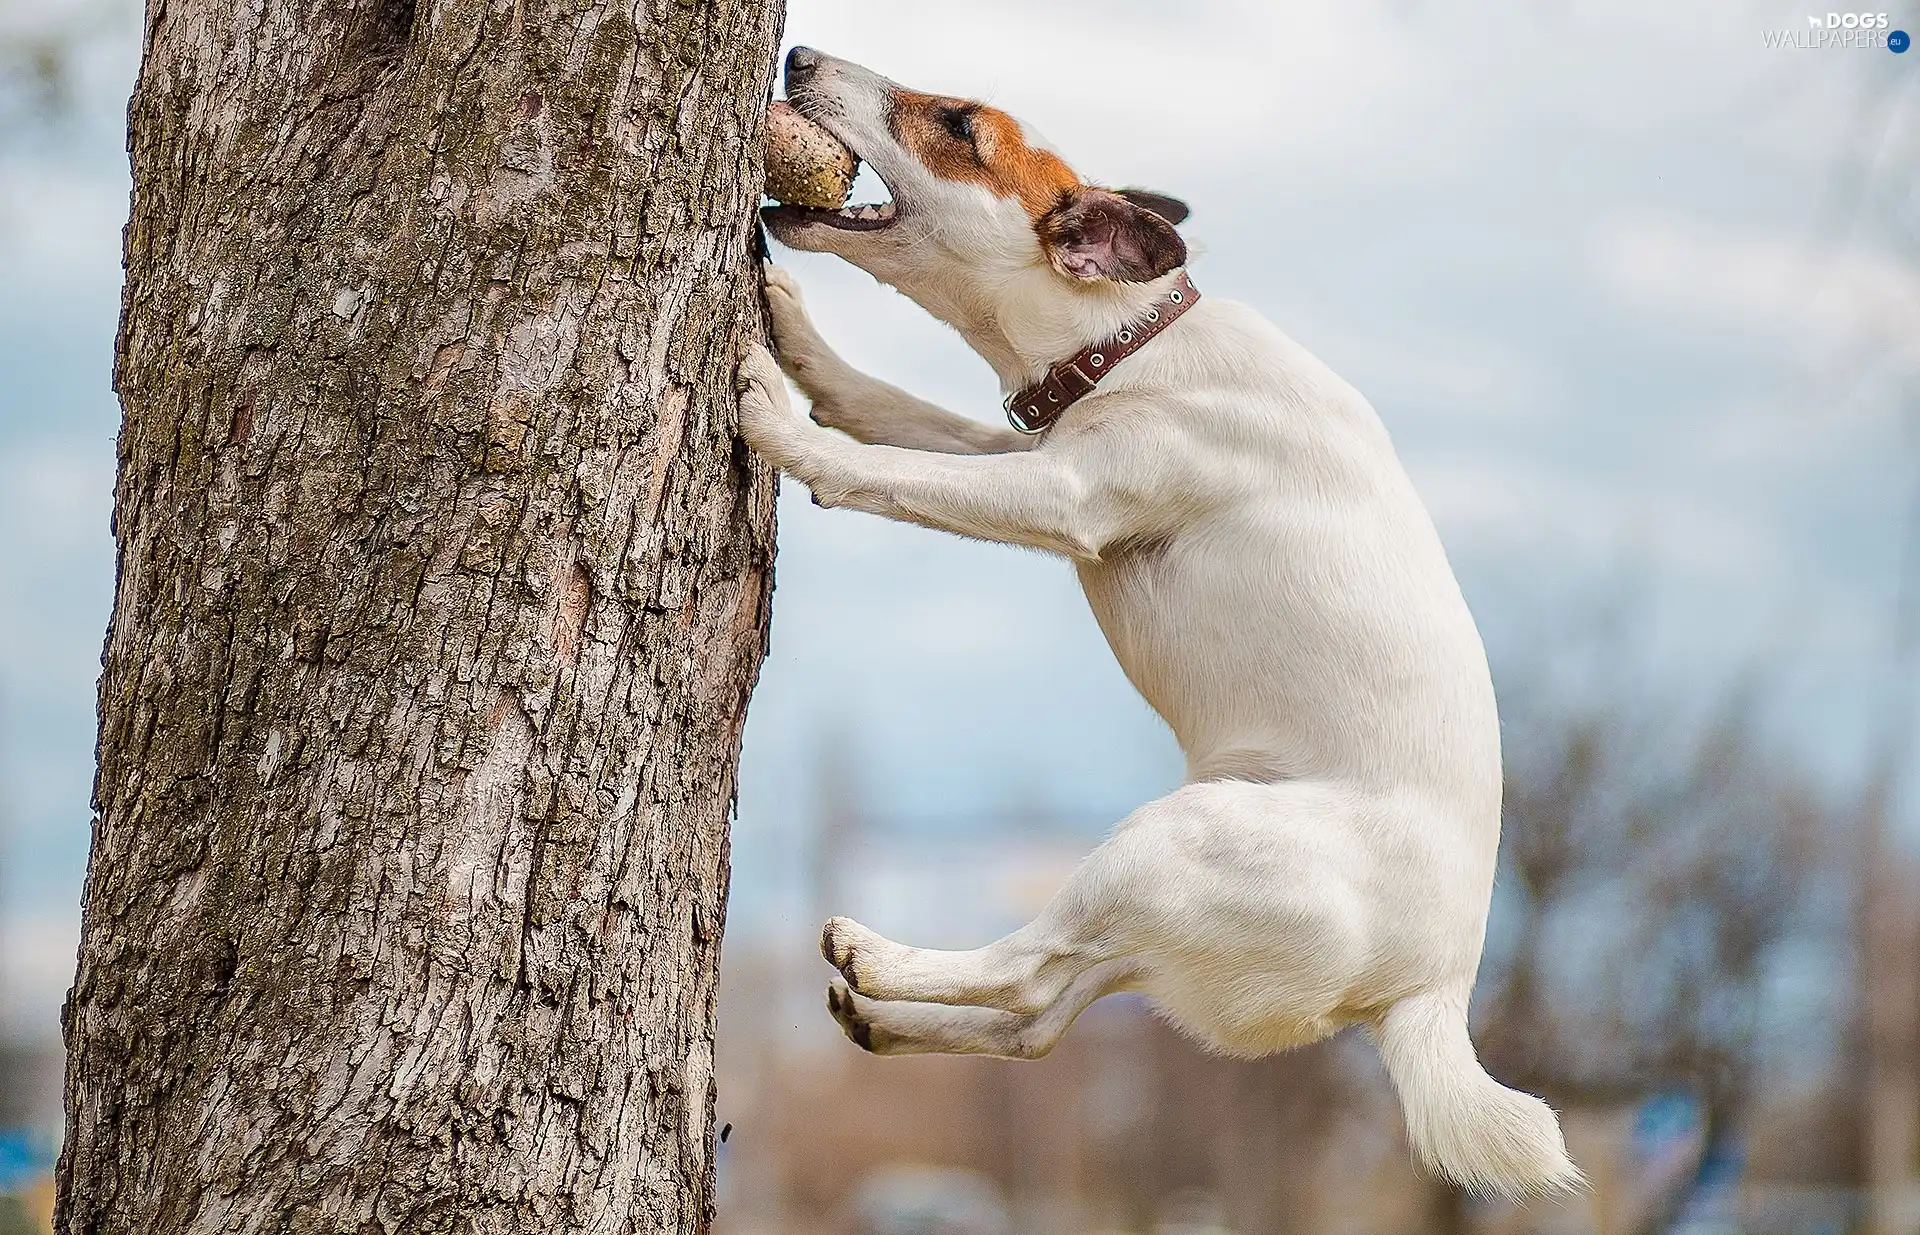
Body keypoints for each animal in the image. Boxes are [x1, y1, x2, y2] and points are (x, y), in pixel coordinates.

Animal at [725, 48, 1582, 1198]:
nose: (800, 57)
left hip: (1173, 843)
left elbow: (891, 468)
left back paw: (881, 955)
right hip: (1171, 913)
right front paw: (806, 346)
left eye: (957, 123)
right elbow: (899, 416)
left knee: (1025, 967)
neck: (1127, 340)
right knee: (1041, 1015)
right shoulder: (1026, 448)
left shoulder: (1066, 495)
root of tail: (1428, 992)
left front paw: (778, 415)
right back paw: (889, 1021)